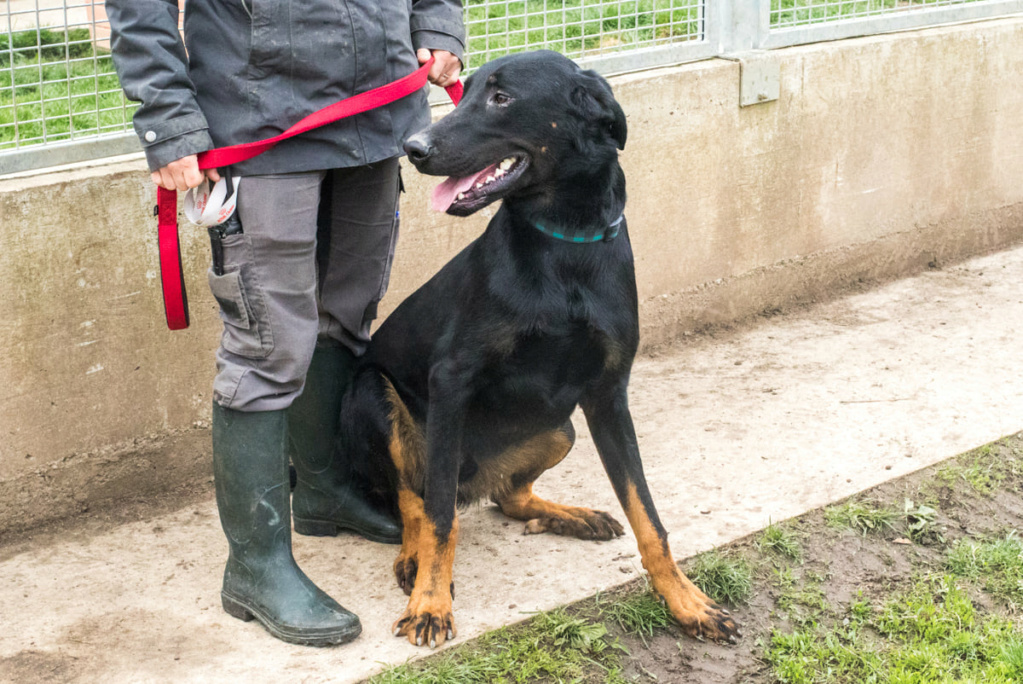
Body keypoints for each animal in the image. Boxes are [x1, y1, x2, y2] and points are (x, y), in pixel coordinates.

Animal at [335, 50, 744, 650]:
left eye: (502, 98)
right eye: (466, 91)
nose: (413, 148)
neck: (562, 246)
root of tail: (475, 479)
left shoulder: (608, 397)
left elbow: (648, 516)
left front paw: (686, 601)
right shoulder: (450, 382)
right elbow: (439, 520)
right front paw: (431, 602)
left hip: (559, 427)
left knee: (508, 495)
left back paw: (571, 515)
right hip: (376, 399)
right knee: (415, 496)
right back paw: (414, 559)